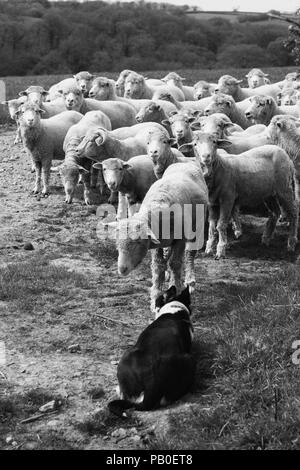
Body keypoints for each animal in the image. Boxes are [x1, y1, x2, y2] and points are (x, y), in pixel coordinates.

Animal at [106, 160, 207, 310]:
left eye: (138, 242)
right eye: (117, 243)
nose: (122, 269)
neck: (158, 203)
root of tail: (185, 162)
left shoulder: (180, 240)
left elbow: (175, 264)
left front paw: (176, 288)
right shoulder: (156, 242)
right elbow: (158, 266)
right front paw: (156, 298)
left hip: (197, 228)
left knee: (189, 255)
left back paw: (190, 281)